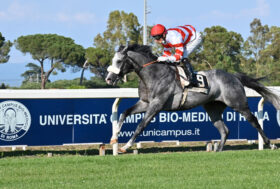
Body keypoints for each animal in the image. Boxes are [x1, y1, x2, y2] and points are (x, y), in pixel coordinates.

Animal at [105, 44, 280, 152]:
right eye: (112, 60)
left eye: (119, 61)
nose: (108, 79)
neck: (153, 74)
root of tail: (234, 76)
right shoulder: (145, 103)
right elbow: (124, 113)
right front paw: (113, 139)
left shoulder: (157, 104)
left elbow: (141, 125)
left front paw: (125, 146)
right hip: (212, 108)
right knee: (224, 130)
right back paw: (218, 150)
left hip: (238, 103)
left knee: (254, 121)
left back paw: (270, 145)